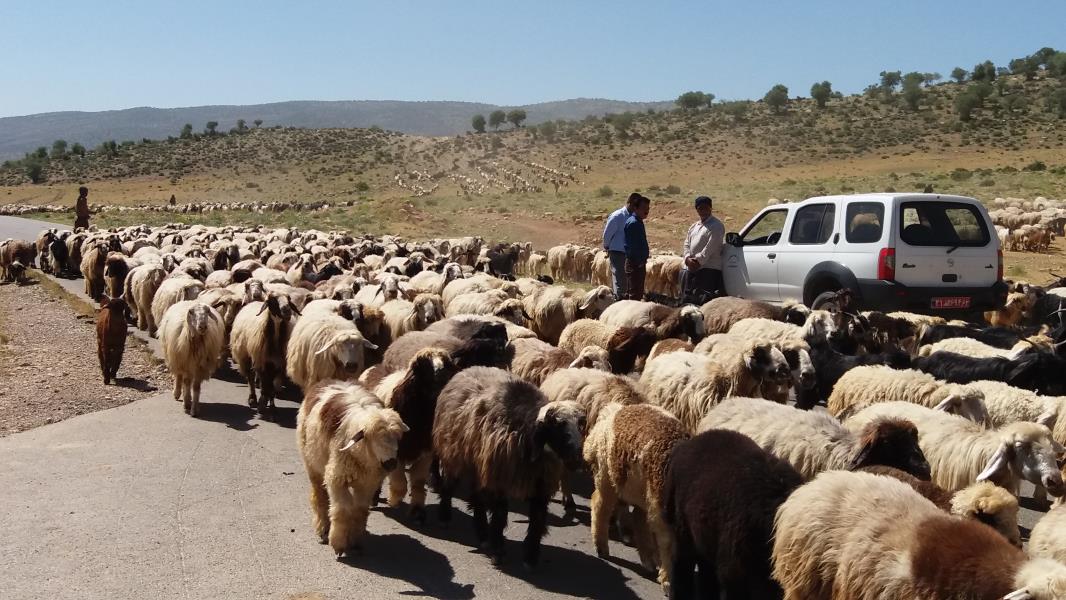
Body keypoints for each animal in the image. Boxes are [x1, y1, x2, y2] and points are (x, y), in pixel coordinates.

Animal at [660, 432, 801, 600]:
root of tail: (684, 445)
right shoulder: (736, 567)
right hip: (684, 527)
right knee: (683, 563)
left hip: (706, 534)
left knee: (705, 569)